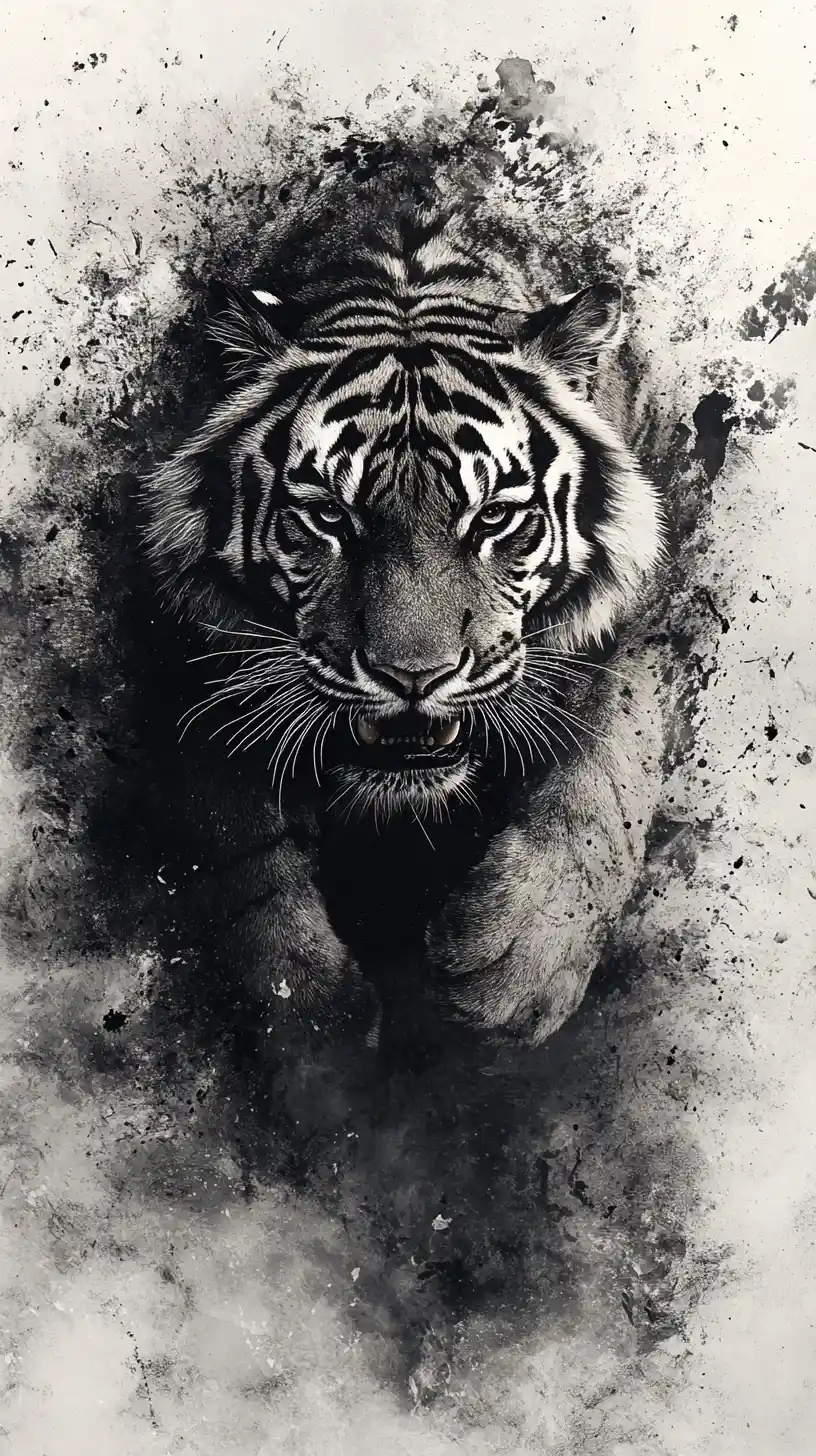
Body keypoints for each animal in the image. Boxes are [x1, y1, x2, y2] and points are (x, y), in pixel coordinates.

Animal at [141, 206, 667, 1053]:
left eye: (494, 518)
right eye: (329, 517)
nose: (413, 676)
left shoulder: (646, 621)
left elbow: (606, 772)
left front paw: (518, 970)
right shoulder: (196, 656)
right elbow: (240, 845)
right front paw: (311, 1013)